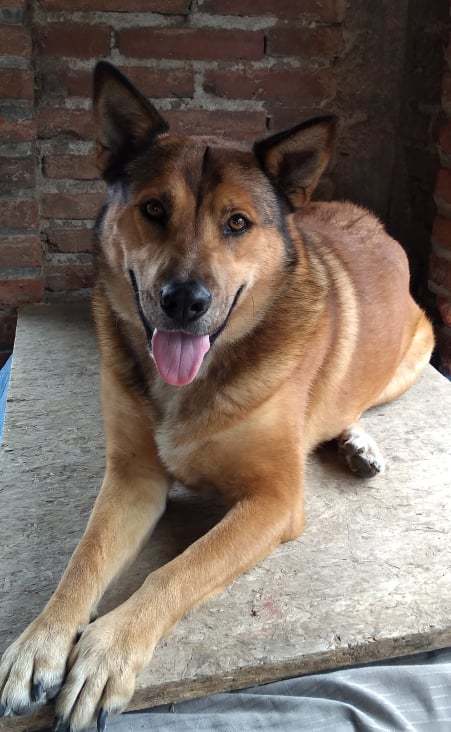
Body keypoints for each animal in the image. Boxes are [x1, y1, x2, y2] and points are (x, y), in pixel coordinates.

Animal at [0, 64, 434, 732]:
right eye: (153, 209)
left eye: (237, 224)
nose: (184, 301)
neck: (196, 379)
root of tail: (376, 224)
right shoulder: (132, 478)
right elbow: (85, 560)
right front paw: (40, 642)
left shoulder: (273, 501)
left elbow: (175, 573)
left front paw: (107, 651)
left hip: (410, 358)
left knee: (357, 404)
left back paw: (357, 442)